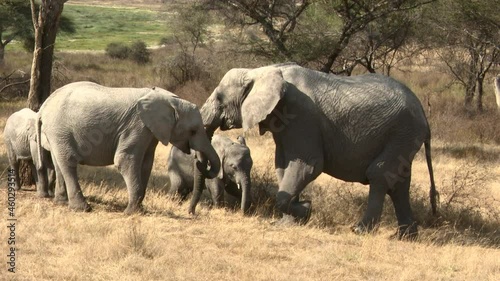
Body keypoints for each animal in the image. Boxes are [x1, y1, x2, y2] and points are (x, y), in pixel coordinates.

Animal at [37, 80, 221, 213]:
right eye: (193, 131)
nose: (198, 161)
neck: (169, 99)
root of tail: (42, 108)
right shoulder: (137, 125)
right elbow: (125, 160)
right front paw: (131, 213)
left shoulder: (150, 131)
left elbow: (146, 164)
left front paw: (140, 209)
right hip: (59, 129)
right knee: (68, 162)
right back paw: (83, 208)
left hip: (56, 134)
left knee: (59, 162)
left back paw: (61, 202)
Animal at [195, 62, 438, 237]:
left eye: (219, 98)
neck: (261, 70)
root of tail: (424, 114)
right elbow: (283, 166)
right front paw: (288, 222)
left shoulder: (301, 116)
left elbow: (308, 165)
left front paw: (305, 209)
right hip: (404, 137)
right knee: (398, 182)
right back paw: (405, 236)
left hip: (402, 132)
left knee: (379, 175)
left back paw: (359, 230)